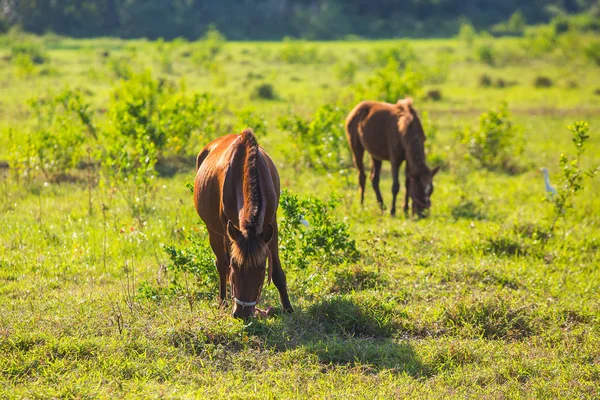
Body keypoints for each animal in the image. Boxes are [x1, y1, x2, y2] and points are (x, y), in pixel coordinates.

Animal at [195, 128, 292, 318]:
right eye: (235, 266)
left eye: (262, 269)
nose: (242, 313)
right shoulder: (228, 230)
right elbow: (225, 265)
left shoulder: (271, 226)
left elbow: (277, 272)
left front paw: (288, 308)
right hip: (214, 232)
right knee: (220, 265)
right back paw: (222, 302)